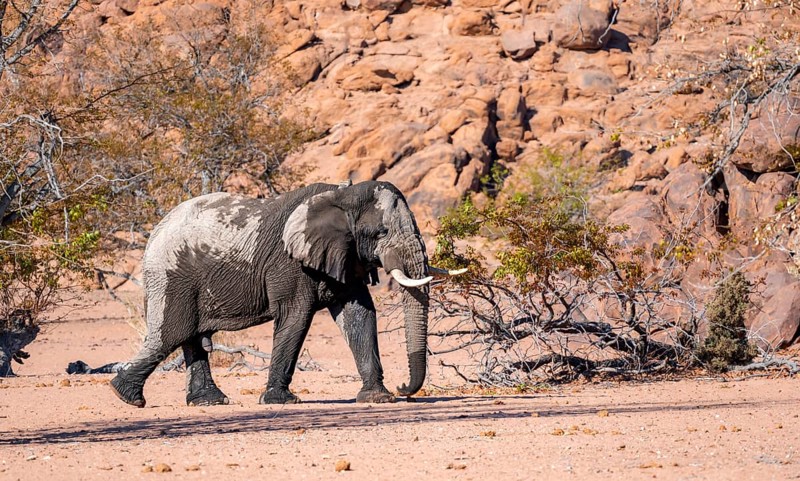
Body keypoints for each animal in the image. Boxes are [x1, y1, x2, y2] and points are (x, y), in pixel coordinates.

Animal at [110, 181, 465, 407]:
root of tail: (156, 229)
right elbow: (296, 317)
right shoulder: (290, 263)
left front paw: (378, 398)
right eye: (381, 232)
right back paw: (126, 396)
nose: (405, 388)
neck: (342, 194)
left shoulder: (343, 254)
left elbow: (359, 315)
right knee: (171, 333)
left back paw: (209, 402)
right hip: (172, 275)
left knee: (191, 338)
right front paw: (280, 401)